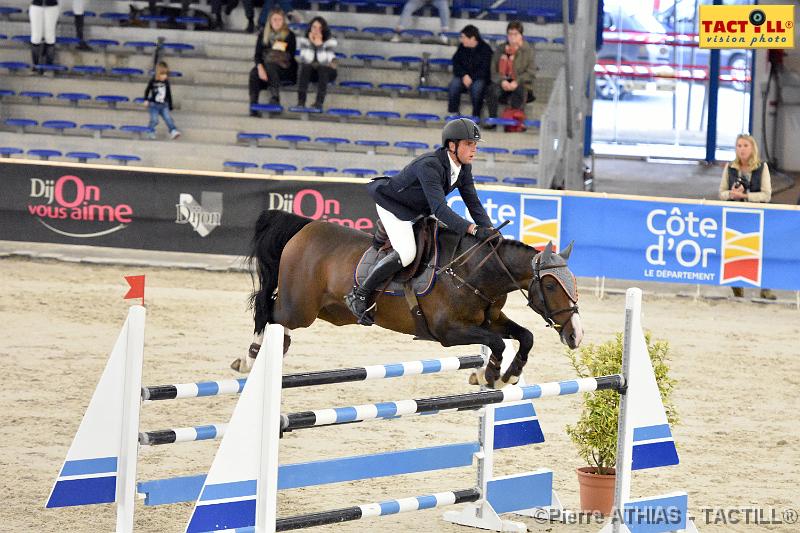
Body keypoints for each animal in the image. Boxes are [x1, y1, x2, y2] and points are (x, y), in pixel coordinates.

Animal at [234, 210, 584, 388]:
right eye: (551, 285)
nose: (576, 335)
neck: (472, 272)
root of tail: (305, 227)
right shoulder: (448, 333)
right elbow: (497, 343)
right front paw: (491, 376)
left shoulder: (491, 320)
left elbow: (525, 337)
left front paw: (509, 376)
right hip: (300, 308)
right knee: (268, 313)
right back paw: (250, 360)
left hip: (325, 310)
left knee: (277, 321)